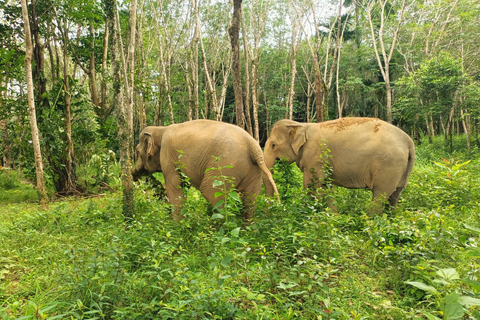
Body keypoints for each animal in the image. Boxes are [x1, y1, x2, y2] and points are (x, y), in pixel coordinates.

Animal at [133, 119, 280, 221]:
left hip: (225, 166)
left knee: (212, 193)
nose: (134, 176)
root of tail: (254, 147)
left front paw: (177, 227)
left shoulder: (168, 157)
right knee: (249, 201)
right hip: (252, 171)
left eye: (137, 151)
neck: (160, 129)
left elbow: (175, 186)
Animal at [262, 117, 416, 210]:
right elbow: (326, 185)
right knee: (395, 195)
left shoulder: (315, 156)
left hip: (388, 164)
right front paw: (333, 217)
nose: (276, 204)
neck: (301, 125)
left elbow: (311, 184)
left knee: (381, 194)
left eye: (273, 145)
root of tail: (409, 142)